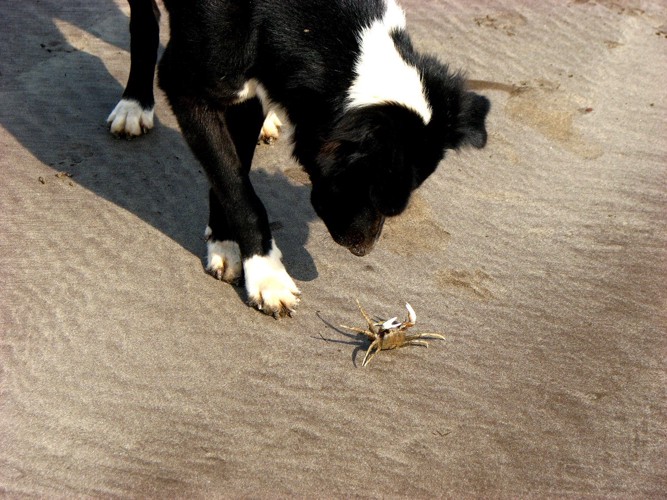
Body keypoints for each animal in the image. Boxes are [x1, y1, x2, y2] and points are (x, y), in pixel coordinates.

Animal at [107, 0, 488, 318]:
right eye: (366, 189)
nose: (362, 250)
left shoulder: (250, 89)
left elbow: (232, 174)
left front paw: (224, 242)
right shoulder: (185, 84)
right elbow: (238, 190)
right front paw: (266, 275)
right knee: (145, 20)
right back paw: (135, 104)